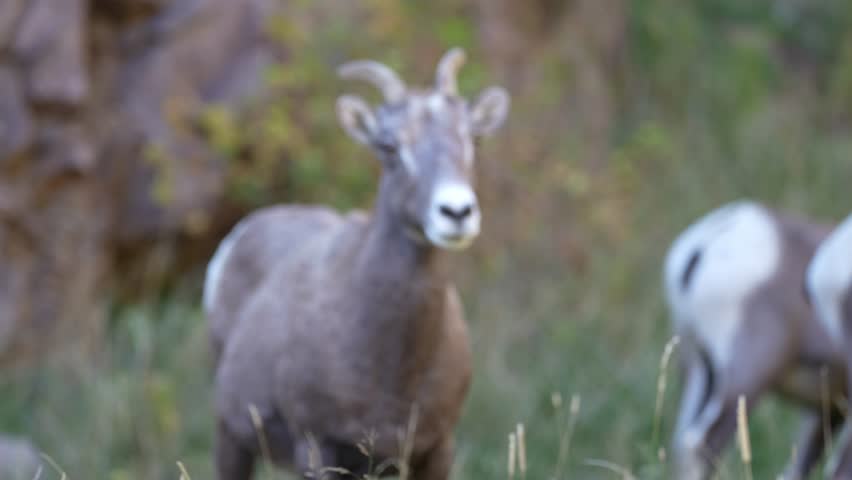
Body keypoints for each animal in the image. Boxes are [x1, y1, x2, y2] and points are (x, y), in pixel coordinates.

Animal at [203, 47, 510, 480]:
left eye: (474, 139)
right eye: (389, 147)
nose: (456, 211)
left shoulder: (435, 448)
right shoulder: (317, 446)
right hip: (231, 436)